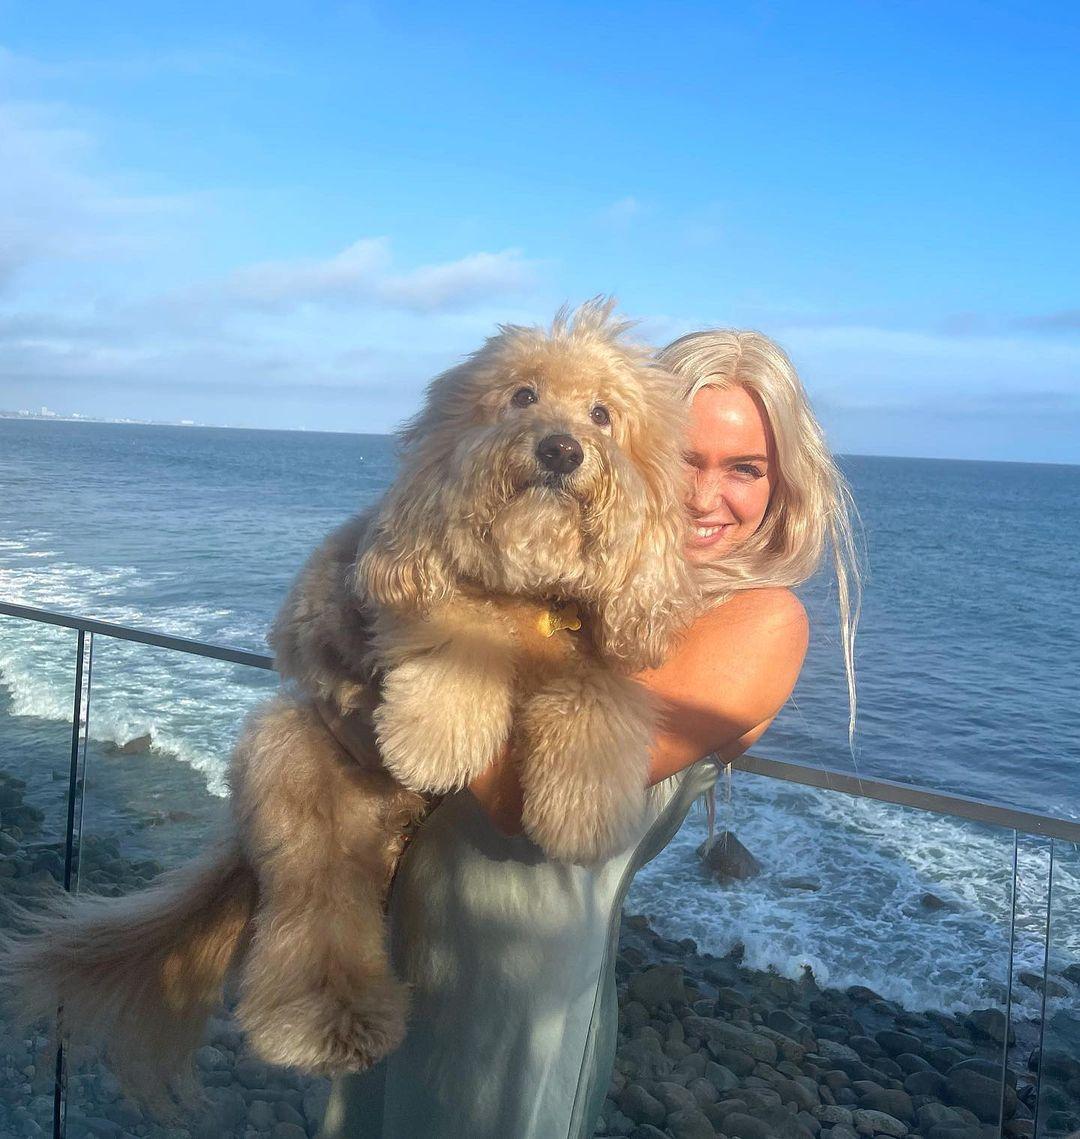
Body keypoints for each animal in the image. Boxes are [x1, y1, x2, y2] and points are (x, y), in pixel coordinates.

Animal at [4, 298, 697, 1097]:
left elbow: (599, 696)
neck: (529, 594)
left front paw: (583, 806)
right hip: (301, 783)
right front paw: (433, 739)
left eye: (602, 414)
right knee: (316, 916)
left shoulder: (604, 646)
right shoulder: (382, 580)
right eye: (522, 395)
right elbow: (455, 630)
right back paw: (325, 1022)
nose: (560, 449)